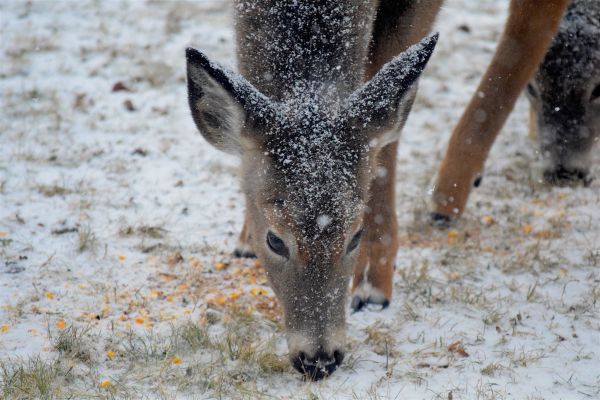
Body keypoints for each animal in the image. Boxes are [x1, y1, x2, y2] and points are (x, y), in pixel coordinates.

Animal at [189, 0, 572, 382]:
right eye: (274, 240)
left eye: (355, 236)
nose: (320, 360)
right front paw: (245, 235)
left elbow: (382, 131)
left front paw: (374, 280)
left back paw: (452, 193)